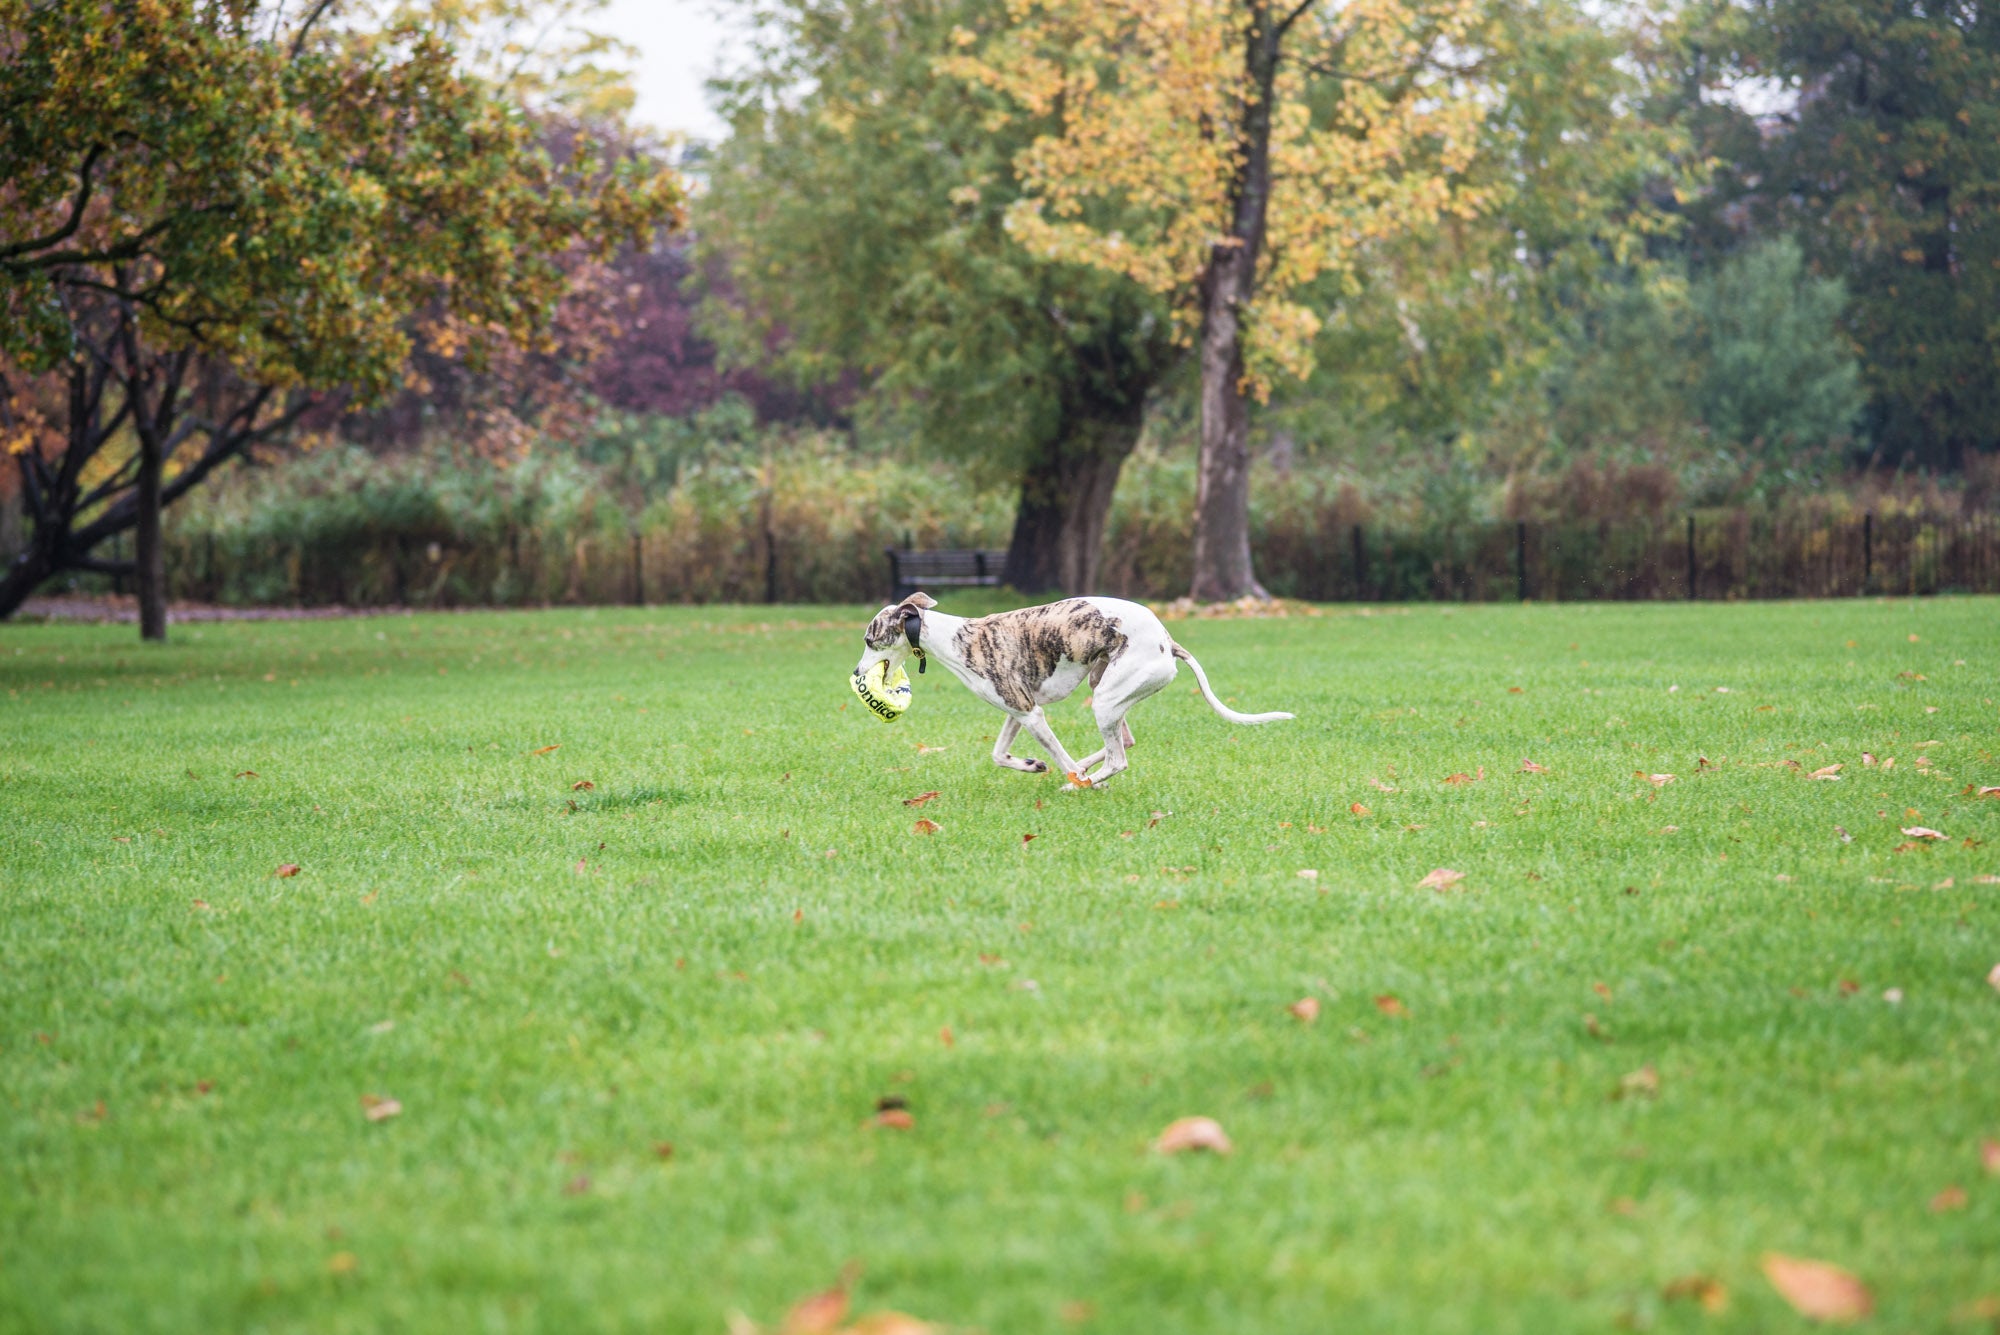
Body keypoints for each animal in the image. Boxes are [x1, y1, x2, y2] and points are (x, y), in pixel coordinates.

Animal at [848, 587, 1288, 787]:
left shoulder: (1031, 713)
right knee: (1124, 742)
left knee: (1118, 758)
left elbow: (1059, 754)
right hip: (1105, 685)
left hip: (1107, 698)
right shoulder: (1018, 710)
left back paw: (1082, 783)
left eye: (870, 640)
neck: (956, 638)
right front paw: (1031, 764)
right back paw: (1087, 774)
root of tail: (1168, 640)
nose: (855, 672)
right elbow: (999, 754)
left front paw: (1066, 771)